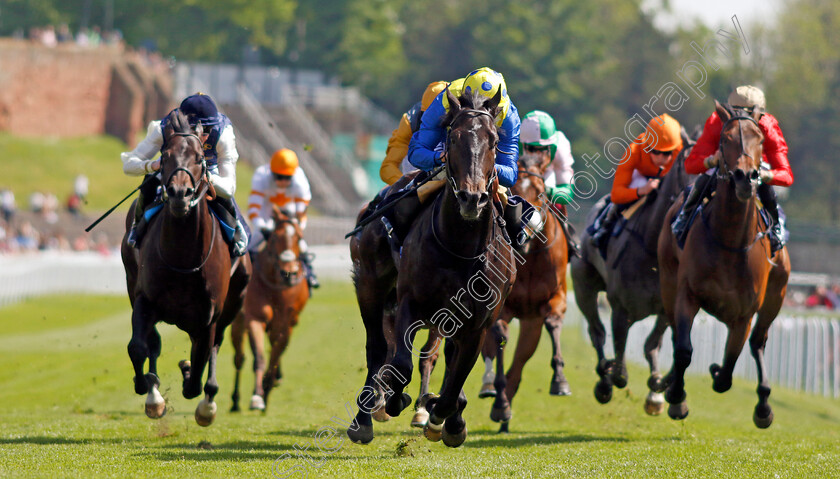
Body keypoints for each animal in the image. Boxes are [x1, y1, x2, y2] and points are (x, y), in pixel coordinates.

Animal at [121, 109, 251, 428]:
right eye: (165, 155)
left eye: (199, 157)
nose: (180, 192)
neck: (182, 257)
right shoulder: (143, 300)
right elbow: (139, 347)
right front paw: (148, 389)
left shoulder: (208, 317)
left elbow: (199, 367)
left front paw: (191, 377)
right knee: (153, 343)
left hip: (234, 302)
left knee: (214, 348)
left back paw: (208, 400)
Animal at [230, 206, 308, 412]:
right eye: (274, 238)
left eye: (299, 237)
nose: (289, 272)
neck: (275, 285)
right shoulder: (254, 317)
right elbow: (259, 357)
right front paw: (257, 396)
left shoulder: (286, 324)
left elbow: (275, 356)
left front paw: (267, 387)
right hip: (238, 322)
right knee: (239, 358)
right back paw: (235, 401)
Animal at [344, 88, 516, 448]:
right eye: (452, 138)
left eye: (494, 141)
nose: (472, 199)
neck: (460, 248)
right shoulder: (410, 301)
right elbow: (399, 363)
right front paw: (398, 401)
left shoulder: (477, 322)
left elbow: (456, 377)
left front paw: (446, 419)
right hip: (369, 285)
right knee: (376, 348)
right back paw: (364, 419)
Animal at [576, 128, 692, 416]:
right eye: (686, 164)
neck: (652, 251)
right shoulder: (620, 307)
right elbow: (620, 368)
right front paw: (611, 376)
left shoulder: (668, 307)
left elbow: (654, 345)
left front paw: (662, 393)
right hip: (584, 287)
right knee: (597, 333)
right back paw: (603, 382)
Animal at [660, 101, 792, 428]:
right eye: (725, 138)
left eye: (761, 139)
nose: (746, 176)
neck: (730, 240)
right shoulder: (687, 293)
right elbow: (684, 350)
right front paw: (676, 398)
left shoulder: (744, 314)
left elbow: (729, 369)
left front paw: (716, 370)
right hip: (667, 282)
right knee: (674, 333)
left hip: (777, 295)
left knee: (758, 342)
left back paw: (763, 405)